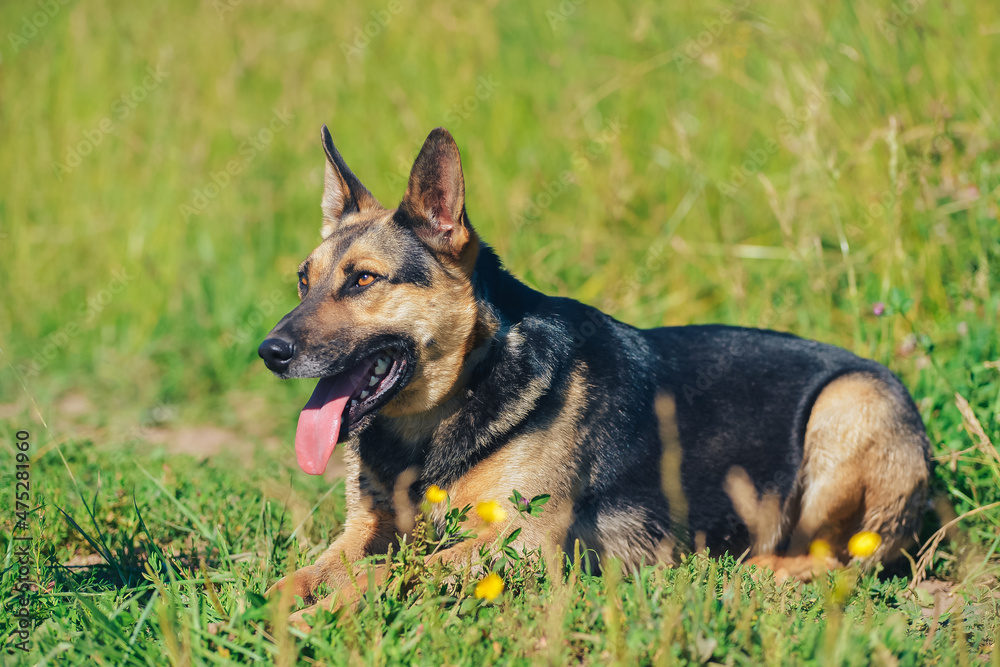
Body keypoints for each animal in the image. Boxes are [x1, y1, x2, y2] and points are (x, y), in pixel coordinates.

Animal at [256, 126, 928, 628]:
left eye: (364, 280)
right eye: (303, 281)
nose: (269, 352)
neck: (458, 397)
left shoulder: (523, 541)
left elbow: (390, 570)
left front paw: (322, 614)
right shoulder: (361, 531)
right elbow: (302, 575)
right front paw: (268, 605)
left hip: (848, 403)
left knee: (848, 557)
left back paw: (760, 570)